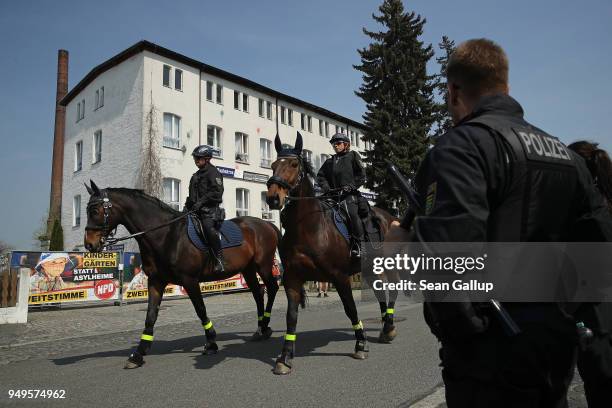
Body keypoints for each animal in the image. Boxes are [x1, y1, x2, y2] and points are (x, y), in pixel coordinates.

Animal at [83, 180, 280, 368]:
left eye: (95, 210)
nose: (89, 244)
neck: (166, 235)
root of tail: (267, 224)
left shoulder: (189, 280)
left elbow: (200, 310)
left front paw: (211, 343)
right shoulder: (156, 281)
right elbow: (150, 316)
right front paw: (139, 353)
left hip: (263, 265)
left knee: (272, 287)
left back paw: (265, 326)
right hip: (248, 269)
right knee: (258, 292)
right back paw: (261, 328)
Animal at [266, 132, 396, 374]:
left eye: (294, 164)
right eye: (272, 165)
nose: (273, 198)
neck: (308, 228)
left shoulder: (340, 277)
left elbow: (351, 309)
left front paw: (361, 345)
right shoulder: (292, 279)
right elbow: (291, 316)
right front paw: (285, 357)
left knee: (390, 291)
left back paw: (389, 327)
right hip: (369, 269)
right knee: (379, 293)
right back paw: (385, 328)